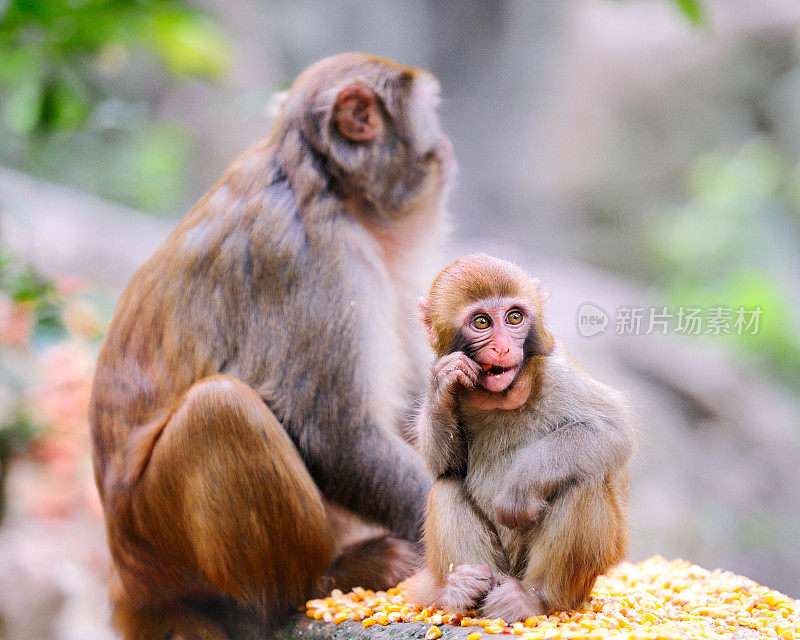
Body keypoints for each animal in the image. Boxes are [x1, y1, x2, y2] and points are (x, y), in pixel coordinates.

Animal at [90, 55, 454, 640]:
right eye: (428, 108)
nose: (443, 140)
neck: (324, 181)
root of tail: (129, 586)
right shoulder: (315, 257)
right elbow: (338, 436)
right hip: (154, 541)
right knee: (219, 410)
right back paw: (320, 583)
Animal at [410, 254, 636, 620]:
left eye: (514, 317)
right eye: (482, 322)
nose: (503, 348)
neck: (502, 396)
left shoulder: (557, 372)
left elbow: (610, 431)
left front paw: (519, 487)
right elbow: (447, 465)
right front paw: (442, 385)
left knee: (582, 482)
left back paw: (533, 598)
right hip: (499, 567)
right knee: (447, 486)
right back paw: (462, 591)